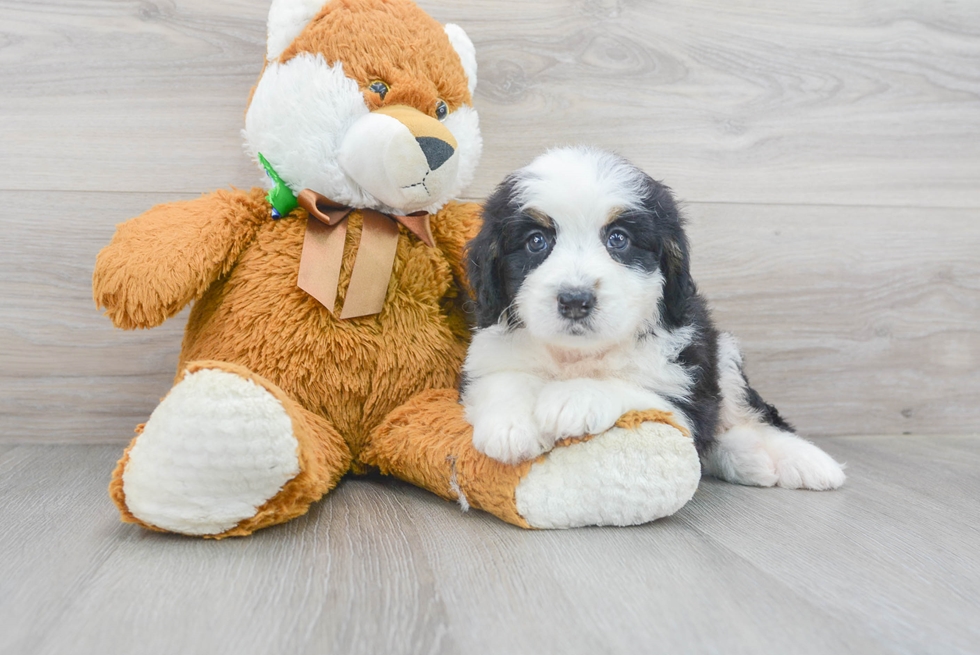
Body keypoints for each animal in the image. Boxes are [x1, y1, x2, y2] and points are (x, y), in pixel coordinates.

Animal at [464, 146, 848, 490]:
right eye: (536, 241)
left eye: (618, 239)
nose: (575, 300)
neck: (578, 355)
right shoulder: (490, 351)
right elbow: (502, 379)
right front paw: (510, 426)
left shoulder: (686, 393)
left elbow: (636, 387)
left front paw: (574, 398)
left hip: (723, 356)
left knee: (751, 417)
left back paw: (794, 459)